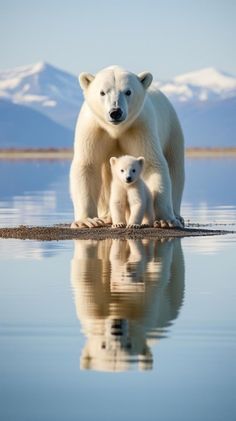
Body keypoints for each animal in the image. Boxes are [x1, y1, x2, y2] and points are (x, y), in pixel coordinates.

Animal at [70, 65, 184, 228]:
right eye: (102, 92)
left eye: (128, 91)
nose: (115, 112)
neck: (116, 129)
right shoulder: (93, 128)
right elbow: (88, 165)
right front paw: (87, 221)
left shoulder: (140, 126)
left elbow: (153, 163)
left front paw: (165, 220)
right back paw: (107, 216)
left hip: (172, 128)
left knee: (175, 167)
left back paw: (177, 215)